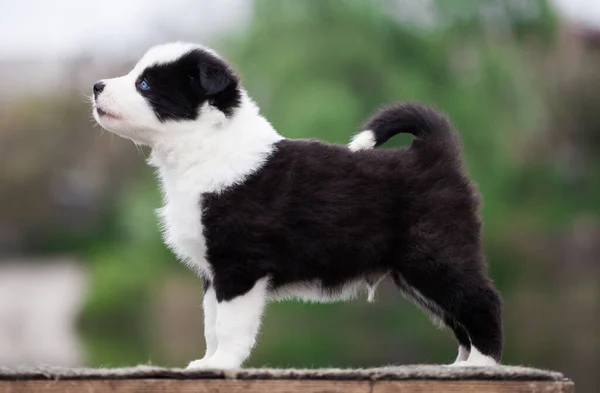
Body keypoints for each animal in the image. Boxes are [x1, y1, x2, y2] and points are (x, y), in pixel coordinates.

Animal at [92, 42, 502, 368]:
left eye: (144, 84)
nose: (96, 85)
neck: (205, 147)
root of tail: (433, 153)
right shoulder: (212, 273)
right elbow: (211, 324)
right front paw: (207, 363)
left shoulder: (239, 267)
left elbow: (228, 325)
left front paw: (222, 365)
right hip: (414, 271)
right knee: (458, 315)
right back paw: (458, 366)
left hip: (435, 254)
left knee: (481, 301)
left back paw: (481, 365)